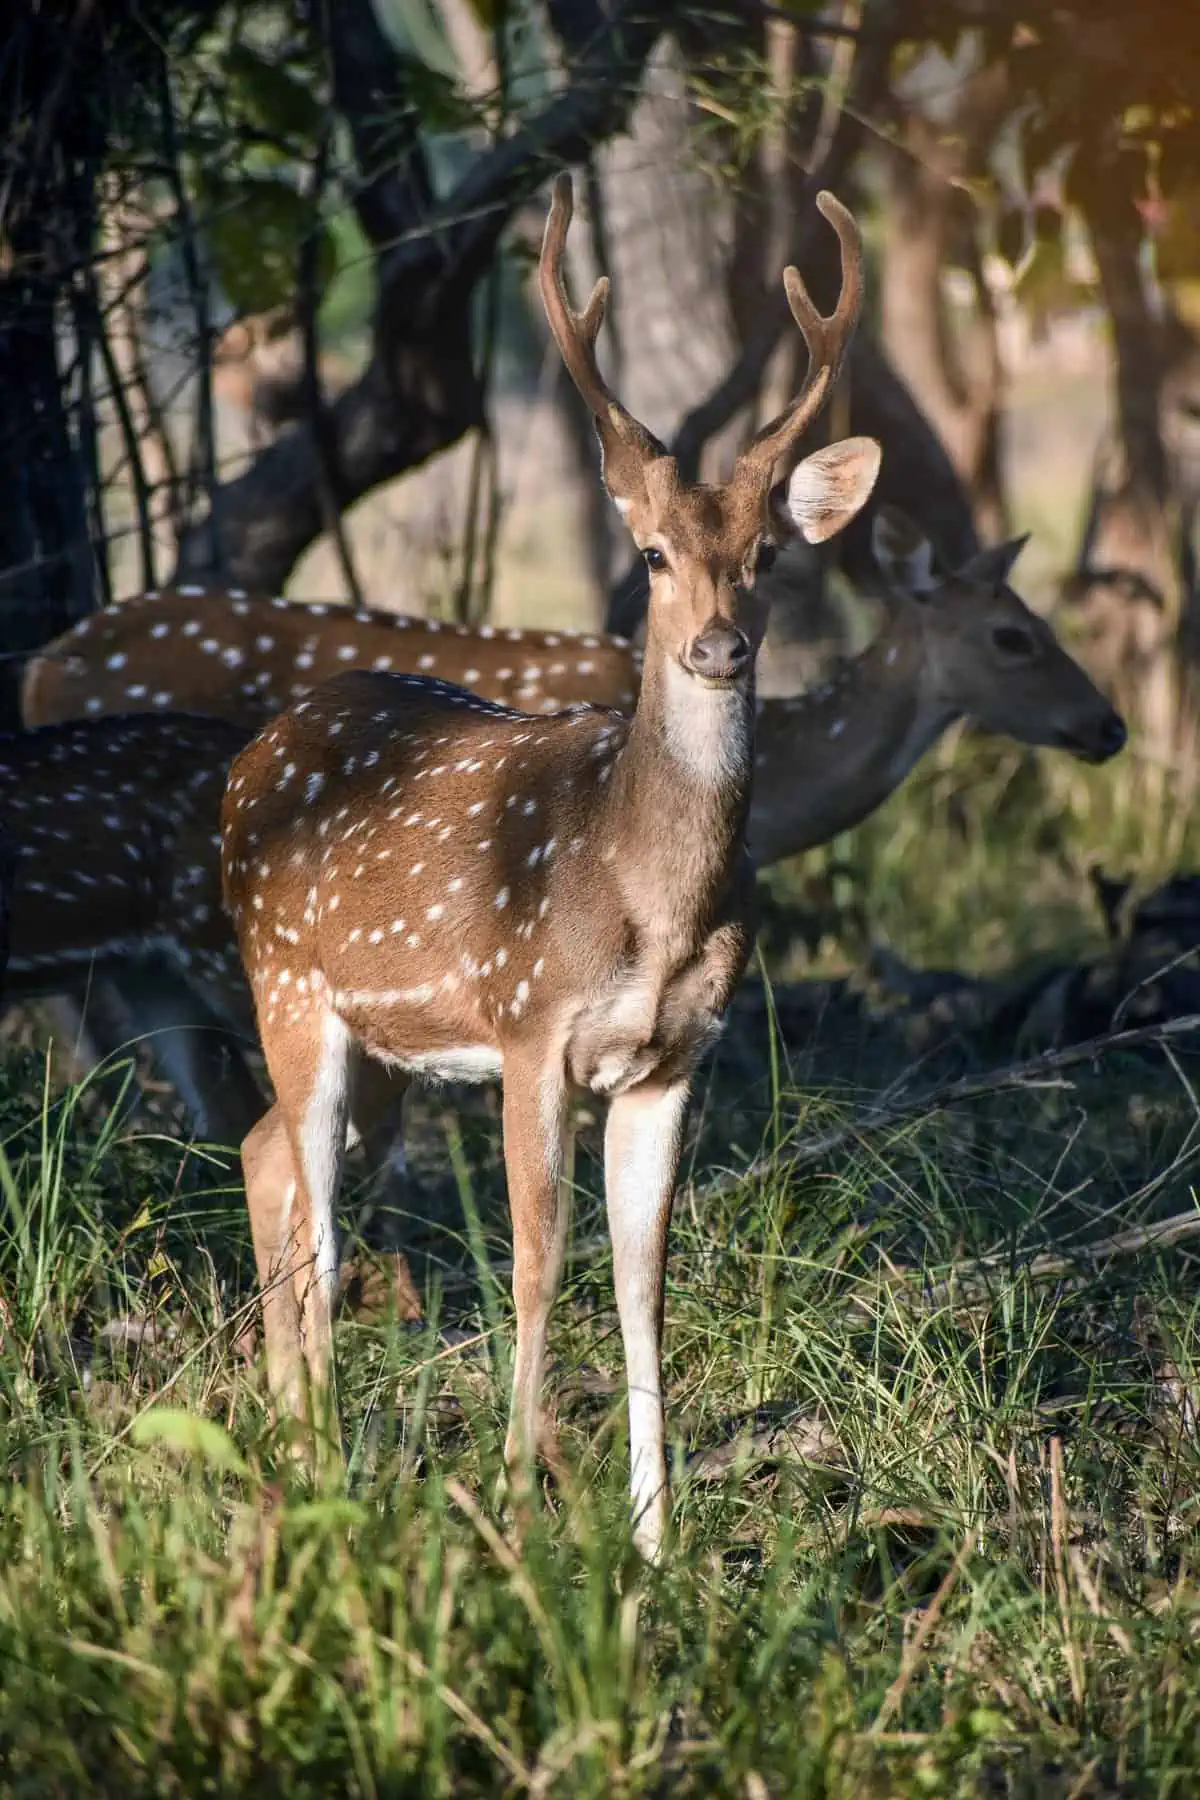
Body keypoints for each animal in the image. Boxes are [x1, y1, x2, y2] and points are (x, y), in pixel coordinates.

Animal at [220, 171, 881, 1562]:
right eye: (654, 556)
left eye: (770, 556)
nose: (722, 647)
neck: (647, 900)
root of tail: (246, 762)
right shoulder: (532, 1031)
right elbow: (536, 1257)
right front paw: (523, 1502)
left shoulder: (674, 1058)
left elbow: (644, 1280)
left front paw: (656, 1540)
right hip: (288, 984)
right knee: (315, 1215)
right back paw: (319, 1466)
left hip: (385, 1055)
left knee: (262, 1158)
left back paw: (293, 1441)